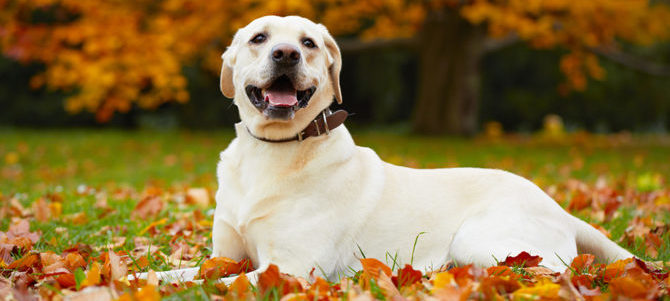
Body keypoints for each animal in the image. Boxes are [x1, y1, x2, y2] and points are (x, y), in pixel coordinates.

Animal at [143, 15, 636, 282]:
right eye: (259, 39)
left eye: (308, 43)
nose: (286, 54)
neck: (274, 151)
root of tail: (559, 207)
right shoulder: (225, 256)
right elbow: (176, 274)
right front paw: (136, 277)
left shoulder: (290, 268)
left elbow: (229, 286)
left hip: (480, 240)